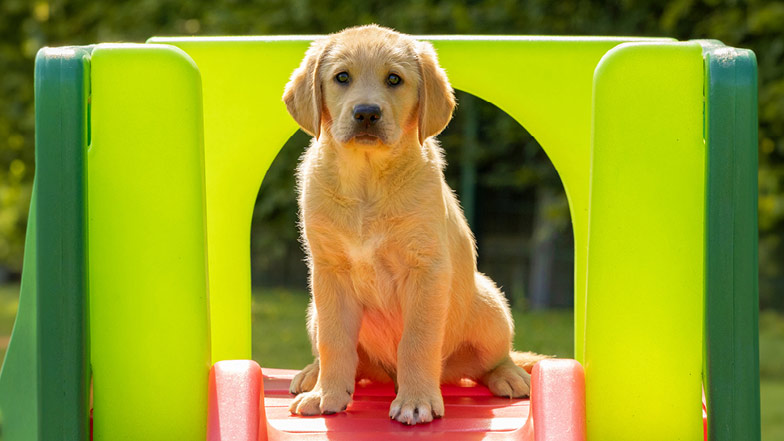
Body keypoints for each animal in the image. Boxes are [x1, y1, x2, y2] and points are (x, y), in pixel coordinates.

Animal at [284, 24, 548, 422]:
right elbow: (335, 342)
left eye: (394, 79)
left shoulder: (425, 269)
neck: (367, 182)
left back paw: (509, 375)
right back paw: (312, 375)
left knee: (492, 360)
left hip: (489, 303)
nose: (366, 113)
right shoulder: (329, 273)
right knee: (350, 361)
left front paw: (416, 401)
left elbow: (417, 341)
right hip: (314, 311)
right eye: (341, 77)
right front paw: (326, 394)